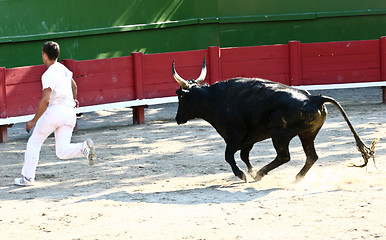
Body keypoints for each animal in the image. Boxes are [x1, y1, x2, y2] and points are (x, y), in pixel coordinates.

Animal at [173, 58, 378, 182]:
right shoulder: (249, 138)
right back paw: (296, 178)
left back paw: (262, 173)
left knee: (284, 156)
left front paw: (243, 175)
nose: (177, 119)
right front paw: (250, 172)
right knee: (311, 156)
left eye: (180, 96)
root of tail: (314, 98)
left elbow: (229, 156)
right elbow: (244, 155)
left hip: (280, 134)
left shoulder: (235, 136)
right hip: (307, 133)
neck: (214, 99)